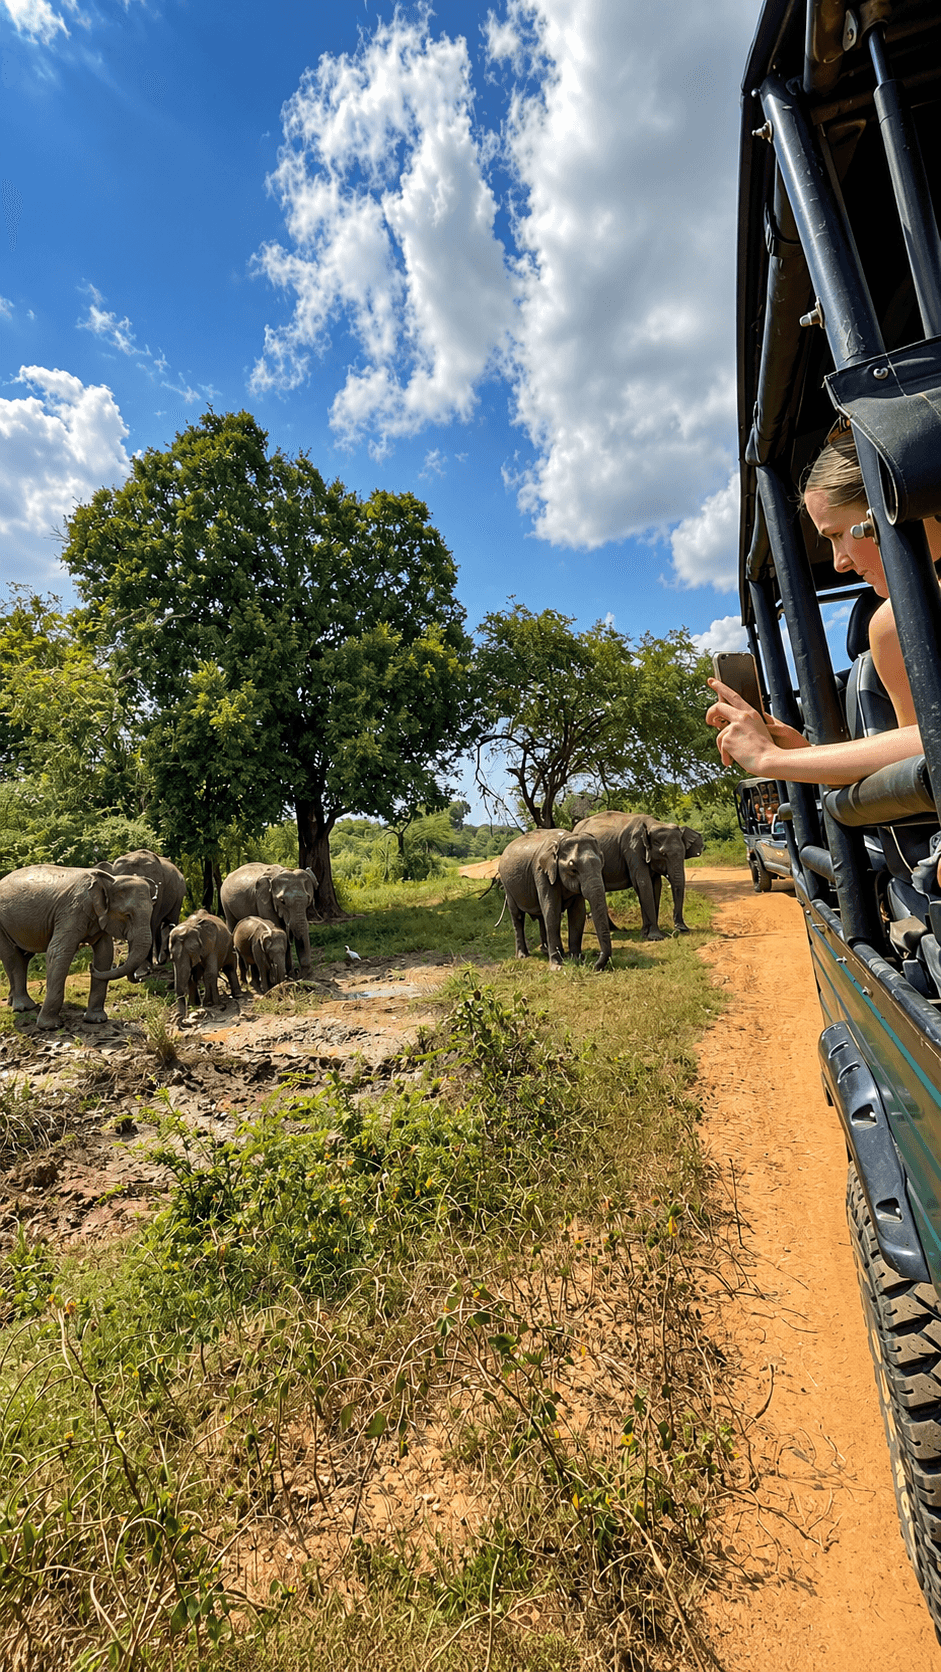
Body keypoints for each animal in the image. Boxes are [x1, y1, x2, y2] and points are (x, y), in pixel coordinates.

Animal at [0, 864, 156, 1030]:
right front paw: (50, 1026)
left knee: (23, 957)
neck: (109, 881)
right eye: (127, 915)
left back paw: (13, 1002)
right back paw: (25, 1007)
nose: (140, 978)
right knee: (11, 956)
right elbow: (58, 952)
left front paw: (96, 1020)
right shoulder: (71, 911)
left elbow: (105, 953)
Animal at [497, 829, 611, 971]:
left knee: (541, 915)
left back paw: (546, 951)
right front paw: (557, 967)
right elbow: (553, 912)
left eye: (601, 866)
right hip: (507, 886)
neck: (563, 840)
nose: (594, 965)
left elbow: (577, 915)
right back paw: (523, 956)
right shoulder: (542, 873)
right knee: (517, 916)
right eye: (573, 870)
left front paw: (576, 959)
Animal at [574, 813, 705, 940]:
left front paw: (645, 933)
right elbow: (643, 882)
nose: (681, 928)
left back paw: (615, 929)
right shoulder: (632, 850)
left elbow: (656, 885)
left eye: (684, 853)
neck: (653, 824)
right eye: (663, 853)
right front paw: (655, 937)